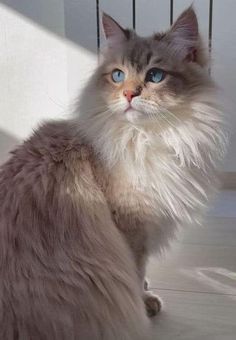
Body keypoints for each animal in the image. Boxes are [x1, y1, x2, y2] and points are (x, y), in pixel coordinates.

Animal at [0, 5, 229, 340]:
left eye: (155, 76)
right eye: (118, 75)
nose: (129, 95)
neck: (146, 138)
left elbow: (141, 273)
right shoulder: (132, 227)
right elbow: (136, 272)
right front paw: (144, 302)